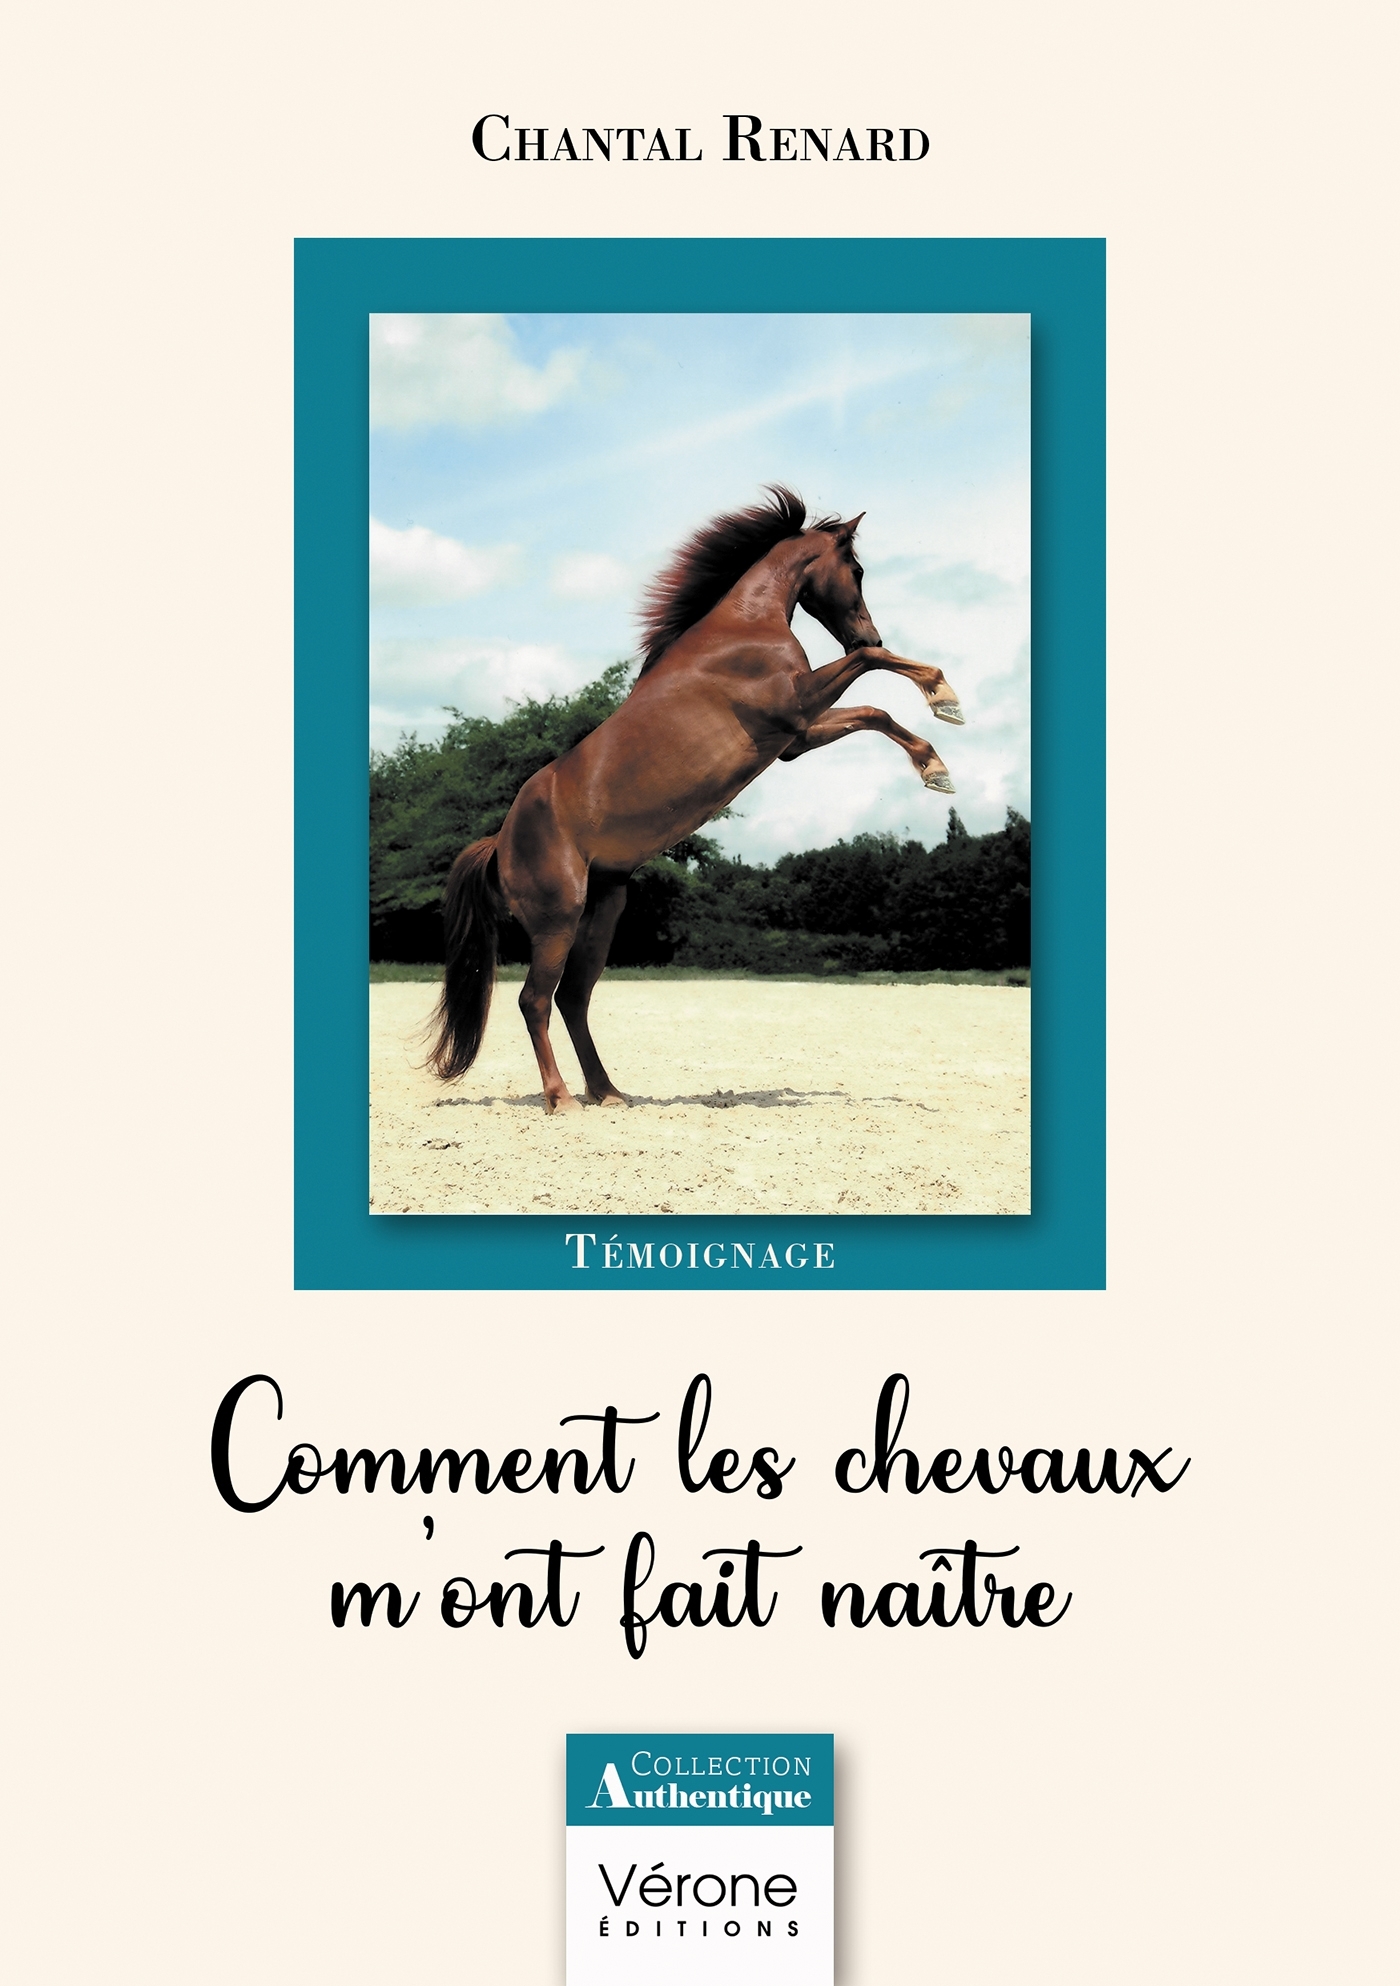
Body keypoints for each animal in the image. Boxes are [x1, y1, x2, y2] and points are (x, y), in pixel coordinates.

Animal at [426, 485, 965, 1113]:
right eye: (856, 569)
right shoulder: (797, 708)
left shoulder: (798, 737)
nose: (867, 632)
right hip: (557, 919)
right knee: (535, 1000)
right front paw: (942, 702)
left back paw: (609, 1093)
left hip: (603, 911)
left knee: (573, 1000)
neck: (741, 629)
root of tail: (499, 841)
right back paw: (562, 1099)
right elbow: (873, 676)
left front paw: (935, 762)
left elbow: (874, 709)